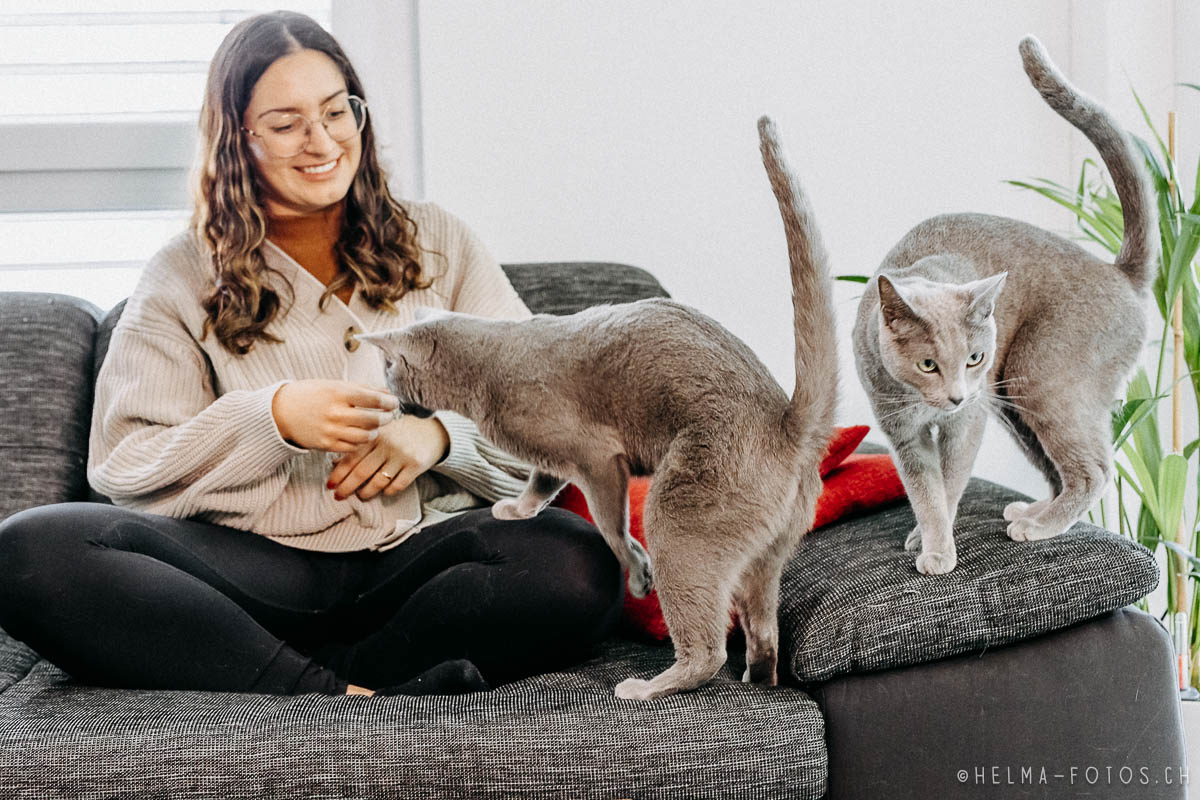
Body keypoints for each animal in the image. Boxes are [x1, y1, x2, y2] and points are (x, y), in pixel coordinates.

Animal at [360, 117, 840, 700]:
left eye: (388, 370)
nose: (387, 394)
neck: (487, 364)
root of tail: (788, 424)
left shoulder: (596, 459)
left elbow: (609, 525)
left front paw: (635, 571)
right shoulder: (553, 457)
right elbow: (540, 481)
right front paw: (517, 510)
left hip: (676, 511)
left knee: (707, 648)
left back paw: (647, 687)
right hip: (763, 558)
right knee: (763, 632)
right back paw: (757, 679)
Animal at [849, 35, 1156, 575]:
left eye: (974, 358)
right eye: (927, 364)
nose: (955, 395)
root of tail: (1119, 271)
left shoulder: (966, 424)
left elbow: (949, 485)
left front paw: (937, 551)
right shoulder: (902, 433)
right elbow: (925, 492)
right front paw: (929, 539)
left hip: (1039, 377)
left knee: (1095, 470)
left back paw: (1039, 526)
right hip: (1013, 400)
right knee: (1062, 470)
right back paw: (1033, 510)